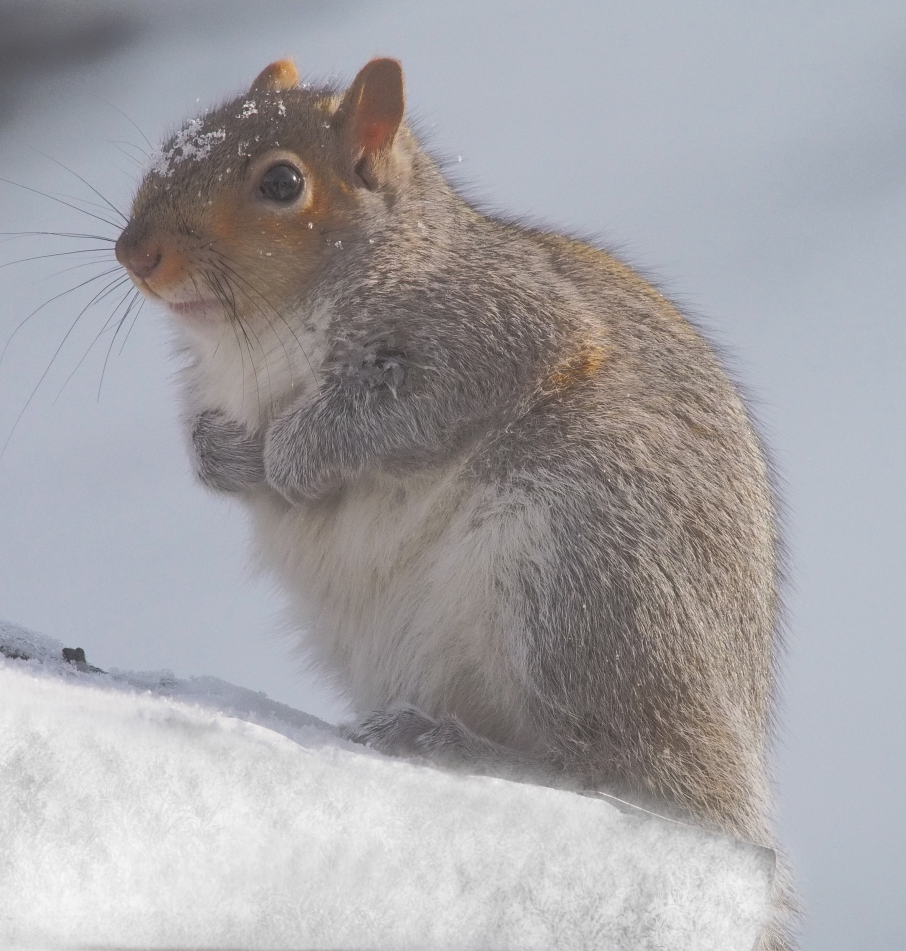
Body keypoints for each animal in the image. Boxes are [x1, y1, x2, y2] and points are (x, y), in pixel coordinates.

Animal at [115, 57, 794, 948]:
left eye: (282, 183)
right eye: (172, 144)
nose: (135, 252)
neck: (255, 337)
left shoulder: (492, 329)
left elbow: (400, 407)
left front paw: (289, 455)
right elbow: (207, 435)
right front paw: (221, 456)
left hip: (581, 569)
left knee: (613, 775)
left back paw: (440, 740)